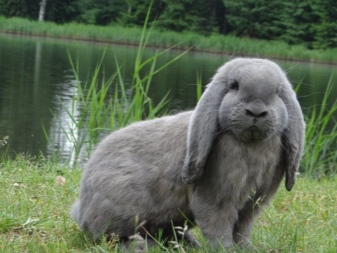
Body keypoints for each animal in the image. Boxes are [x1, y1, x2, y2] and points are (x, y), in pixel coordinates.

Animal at [70, 58, 304, 250]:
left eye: (277, 92)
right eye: (234, 86)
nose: (256, 111)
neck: (252, 144)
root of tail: (81, 210)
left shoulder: (253, 204)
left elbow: (242, 231)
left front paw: (247, 249)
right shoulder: (216, 200)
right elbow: (218, 228)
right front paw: (225, 250)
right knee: (111, 237)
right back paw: (140, 245)